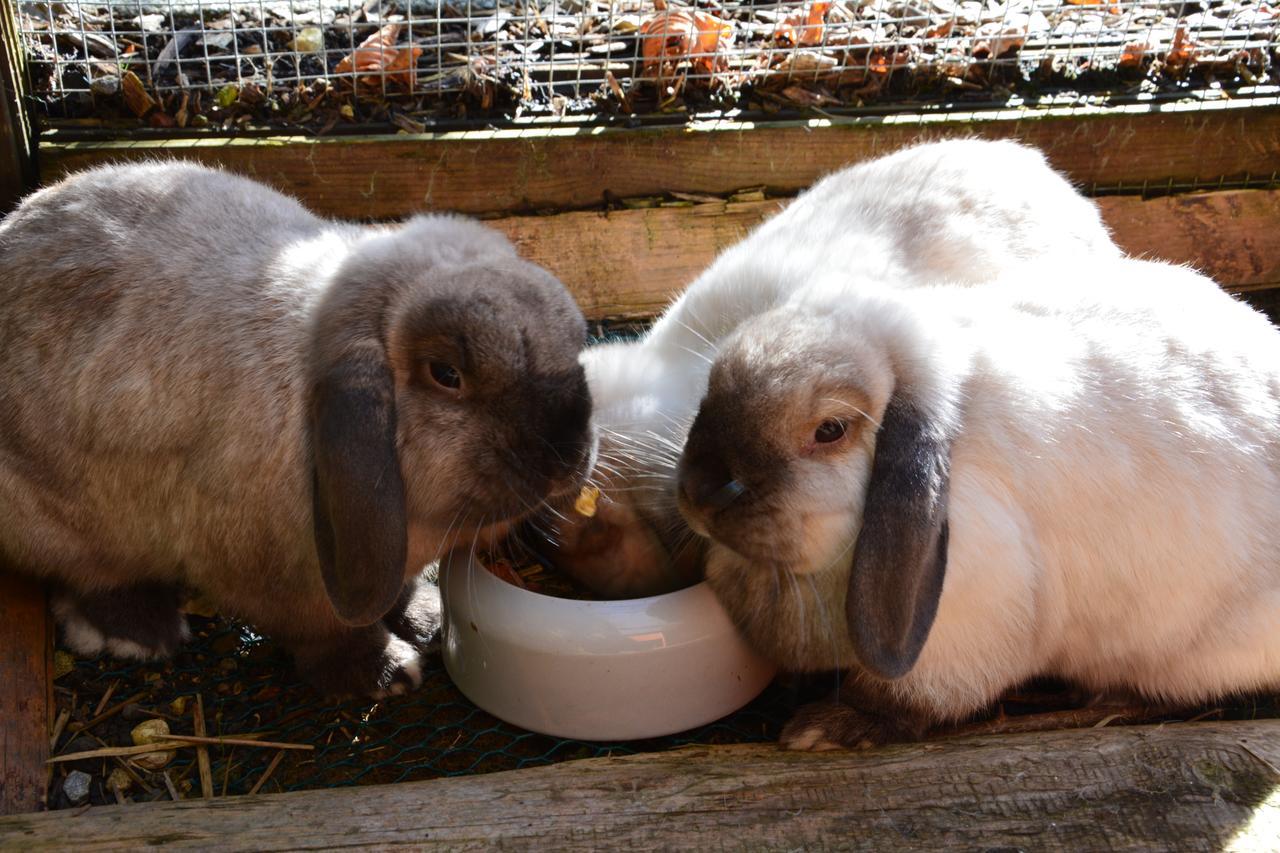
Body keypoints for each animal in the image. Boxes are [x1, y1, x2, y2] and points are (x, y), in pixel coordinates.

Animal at [1, 162, 593, 696]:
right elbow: (322, 632)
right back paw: (141, 631)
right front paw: (382, 671)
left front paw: (425, 616)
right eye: (447, 374)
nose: (568, 456)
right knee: (92, 576)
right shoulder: (269, 578)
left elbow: (396, 591)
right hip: (68, 527)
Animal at [675, 256, 1274, 747]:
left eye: (830, 430)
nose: (698, 496)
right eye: (711, 386)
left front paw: (827, 727)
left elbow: (909, 696)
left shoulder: (963, 624)